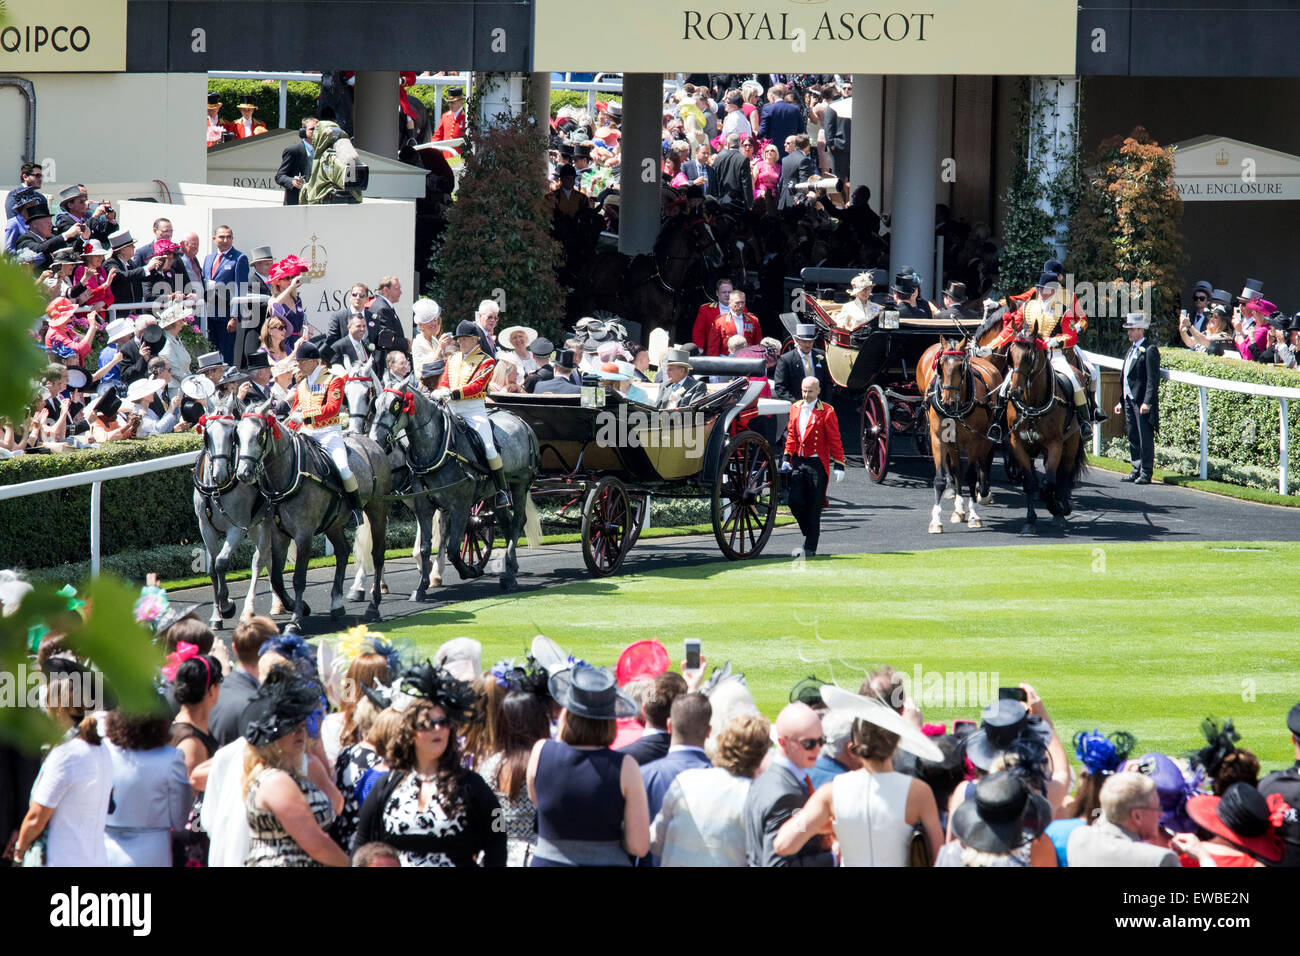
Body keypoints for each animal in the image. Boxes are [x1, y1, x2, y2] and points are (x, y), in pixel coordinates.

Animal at [188, 395, 276, 629]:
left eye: (231, 434)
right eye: (207, 435)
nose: (219, 473)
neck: (216, 490)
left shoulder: (237, 528)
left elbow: (221, 563)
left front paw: (227, 605)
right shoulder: (205, 527)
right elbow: (211, 569)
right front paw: (216, 615)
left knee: (263, 556)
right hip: (256, 524)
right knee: (267, 556)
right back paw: (278, 602)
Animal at [235, 400, 390, 632]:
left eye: (260, 434)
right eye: (237, 434)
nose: (243, 473)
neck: (290, 473)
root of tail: (371, 443)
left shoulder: (304, 535)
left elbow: (299, 578)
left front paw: (295, 620)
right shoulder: (279, 534)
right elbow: (277, 579)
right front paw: (296, 607)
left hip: (377, 509)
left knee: (377, 554)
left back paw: (374, 605)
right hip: (333, 523)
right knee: (342, 551)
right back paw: (336, 605)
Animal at [371, 377, 538, 595]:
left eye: (395, 405)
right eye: (375, 405)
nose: (375, 440)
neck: (438, 450)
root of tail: (520, 420)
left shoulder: (460, 505)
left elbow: (452, 549)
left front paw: (469, 570)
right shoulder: (424, 506)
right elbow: (425, 547)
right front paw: (421, 587)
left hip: (520, 485)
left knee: (518, 521)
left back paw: (509, 575)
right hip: (494, 492)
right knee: (507, 523)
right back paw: (511, 567)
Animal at [915, 335, 1003, 530]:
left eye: (960, 366)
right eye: (940, 365)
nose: (948, 402)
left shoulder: (974, 441)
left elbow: (970, 476)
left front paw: (974, 515)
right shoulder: (939, 438)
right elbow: (941, 478)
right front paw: (936, 520)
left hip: (985, 437)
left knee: (984, 460)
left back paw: (982, 493)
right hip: (953, 441)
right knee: (956, 469)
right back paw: (959, 509)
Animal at [1003, 329, 1086, 535]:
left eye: (1030, 356)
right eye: (1011, 354)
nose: (1015, 392)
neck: (1033, 406)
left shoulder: (1055, 444)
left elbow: (1048, 483)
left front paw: (1058, 507)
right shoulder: (1019, 444)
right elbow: (1031, 483)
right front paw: (1030, 521)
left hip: (1071, 442)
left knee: (1064, 474)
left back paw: (1063, 505)